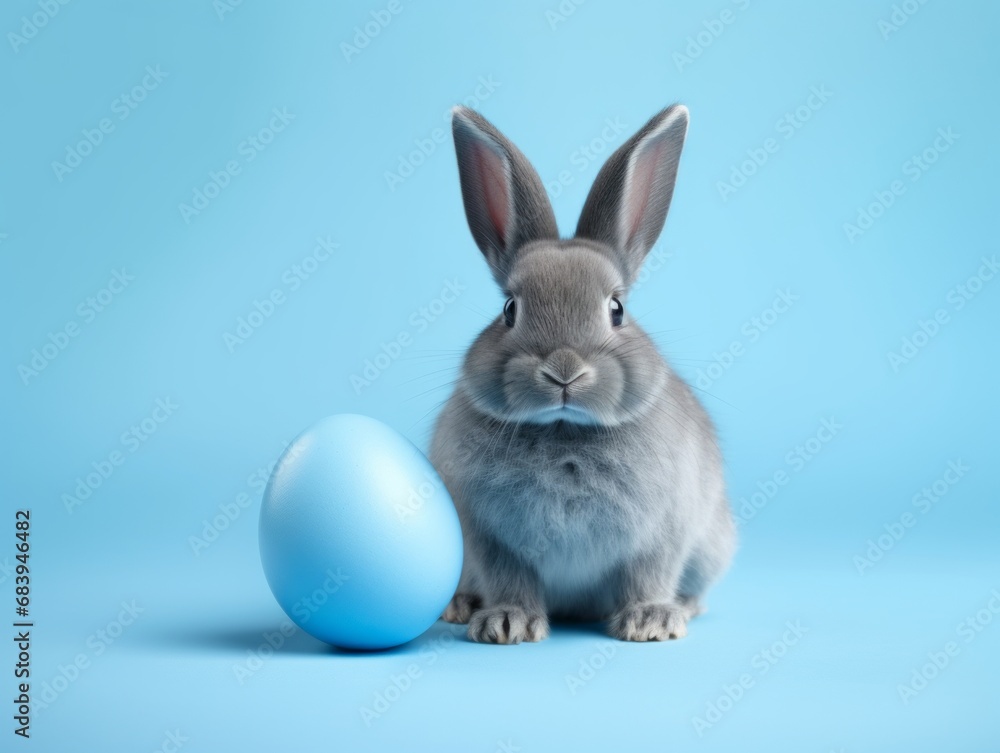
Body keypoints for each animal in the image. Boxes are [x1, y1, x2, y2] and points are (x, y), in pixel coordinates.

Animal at [429, 104, 735, 644]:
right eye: (509, 309)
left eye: (617, 309)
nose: (564, 371)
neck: (564, 430)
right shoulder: (490, 537)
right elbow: (510, 579)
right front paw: (507, 624)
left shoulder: (661, 532)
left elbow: (647, 574)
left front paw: (650, 622)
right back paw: (462, 606)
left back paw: (682, 607)